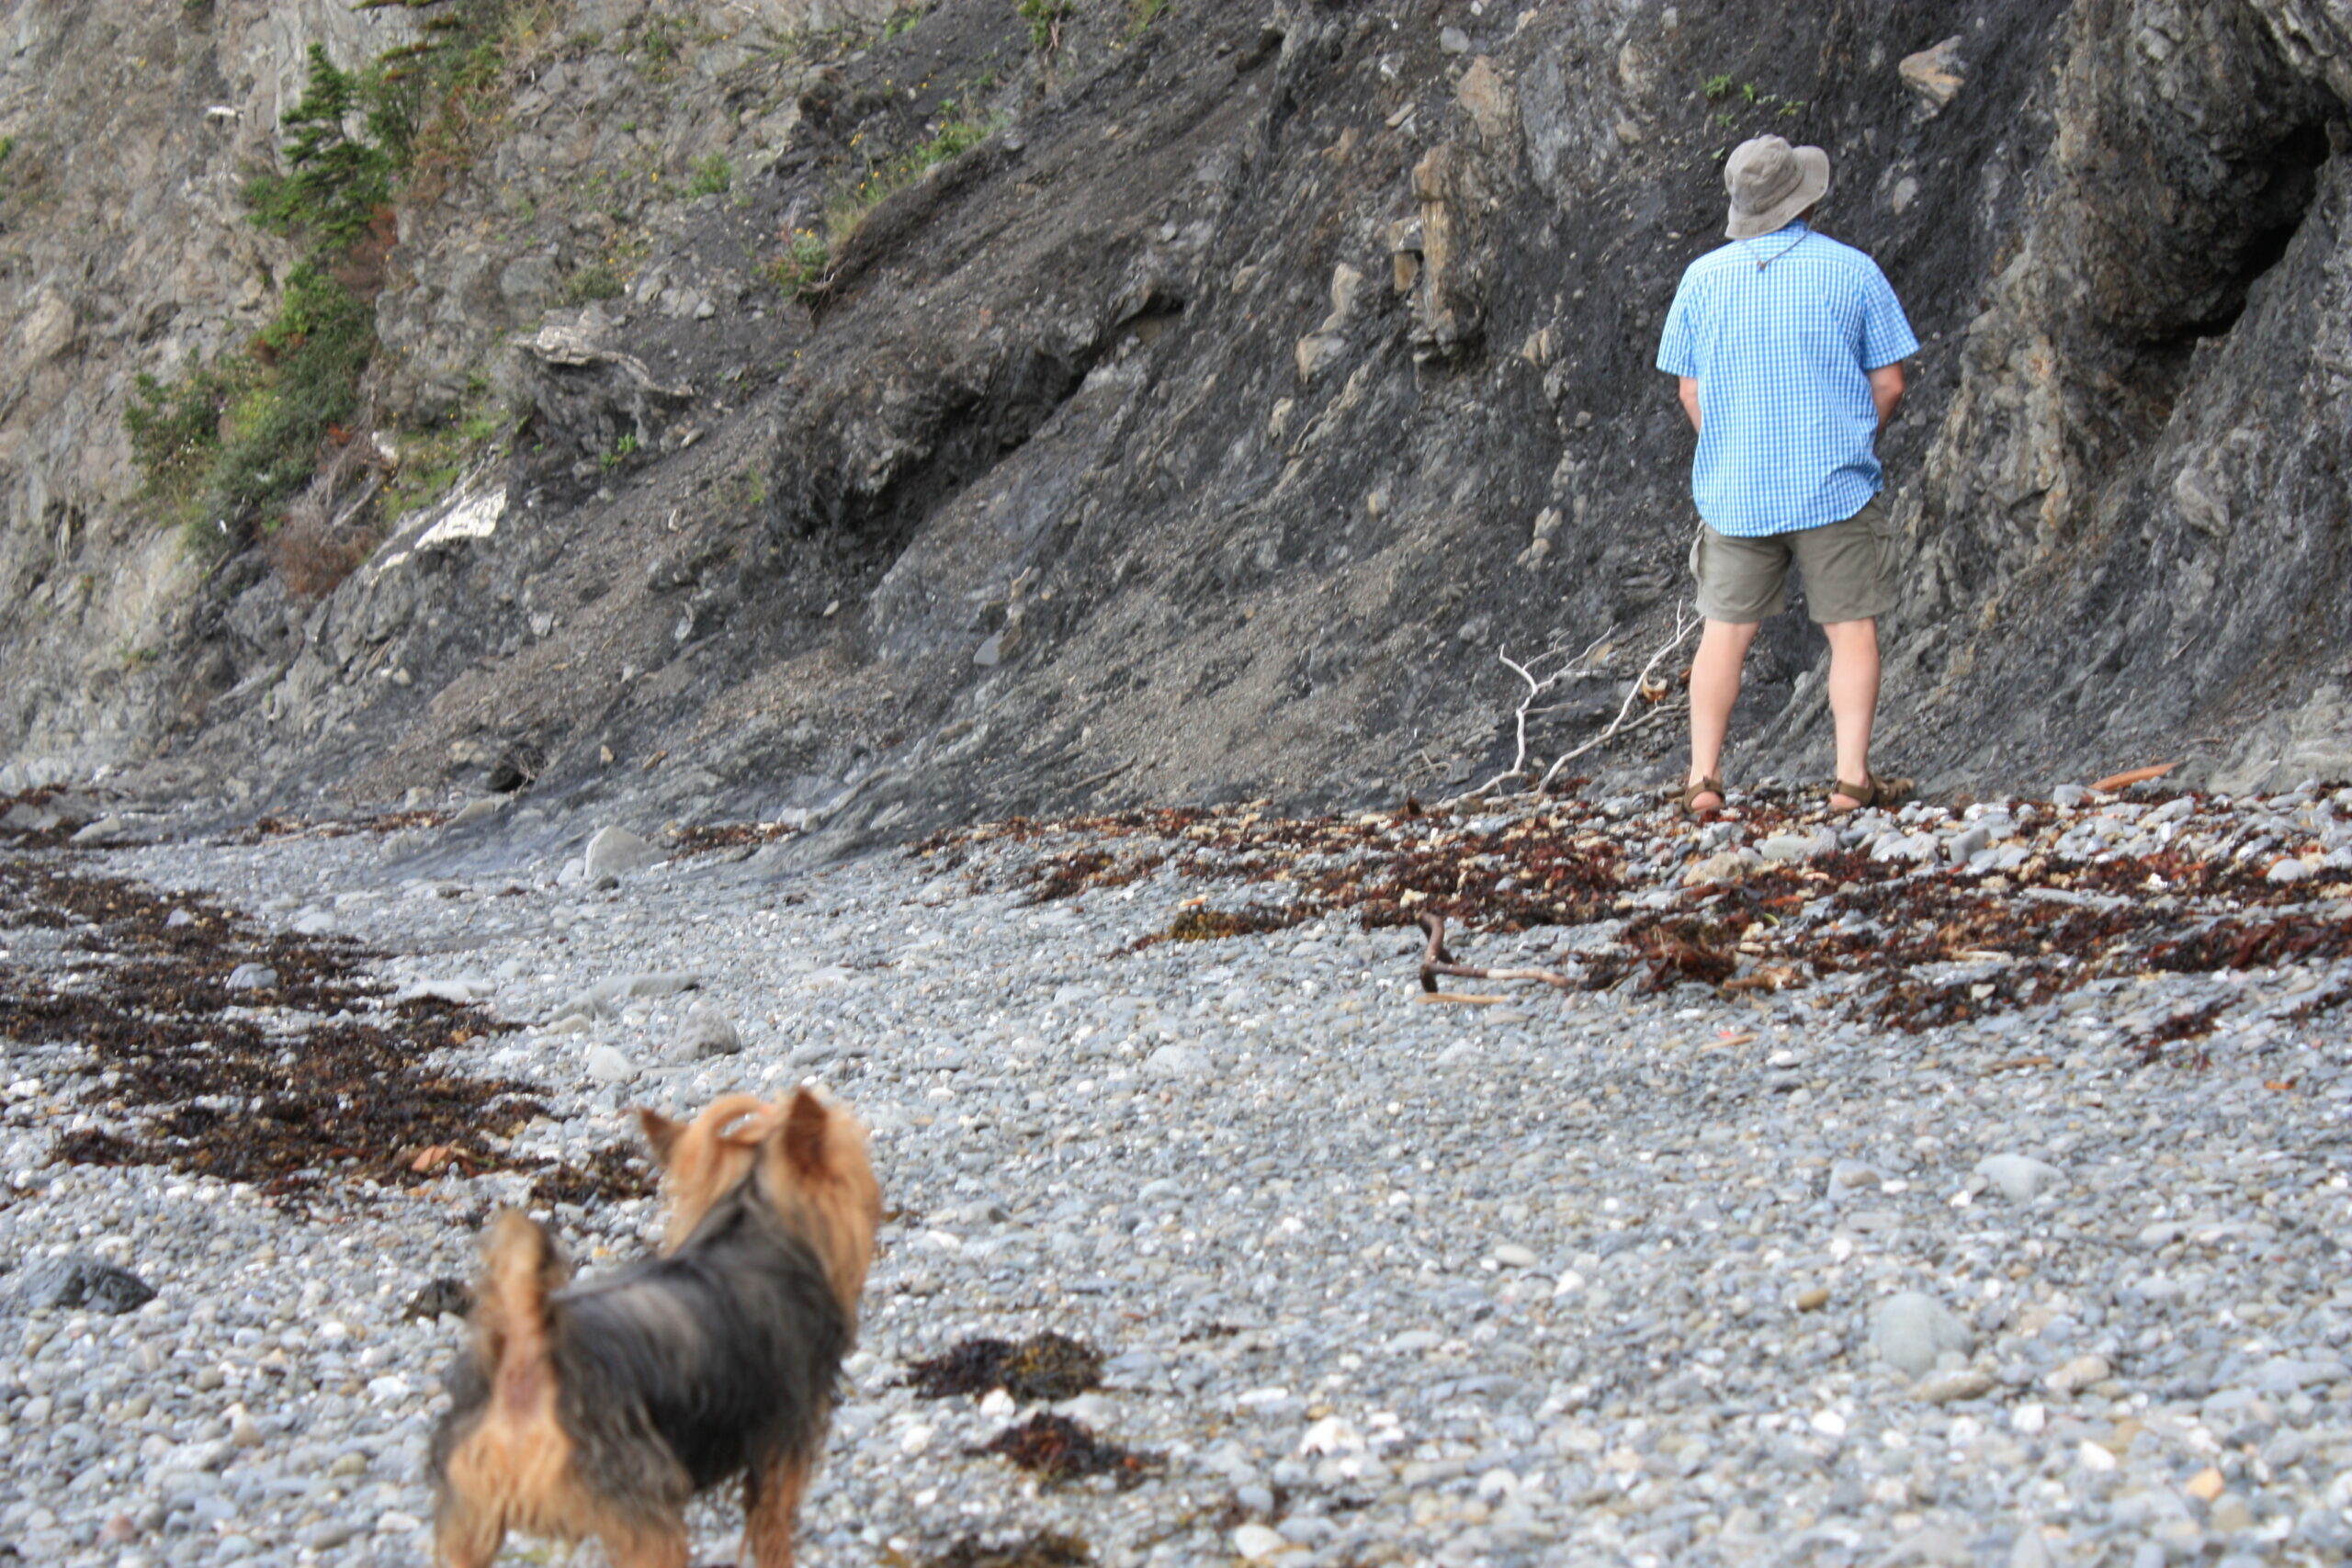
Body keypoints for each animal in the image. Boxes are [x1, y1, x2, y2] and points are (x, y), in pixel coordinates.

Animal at [433, 1090, 884, 1568]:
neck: (746, 1220)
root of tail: (527, 1355)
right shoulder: (782, 1441)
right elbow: (773, 1533)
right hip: (644, 1512)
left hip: (470, 1515)